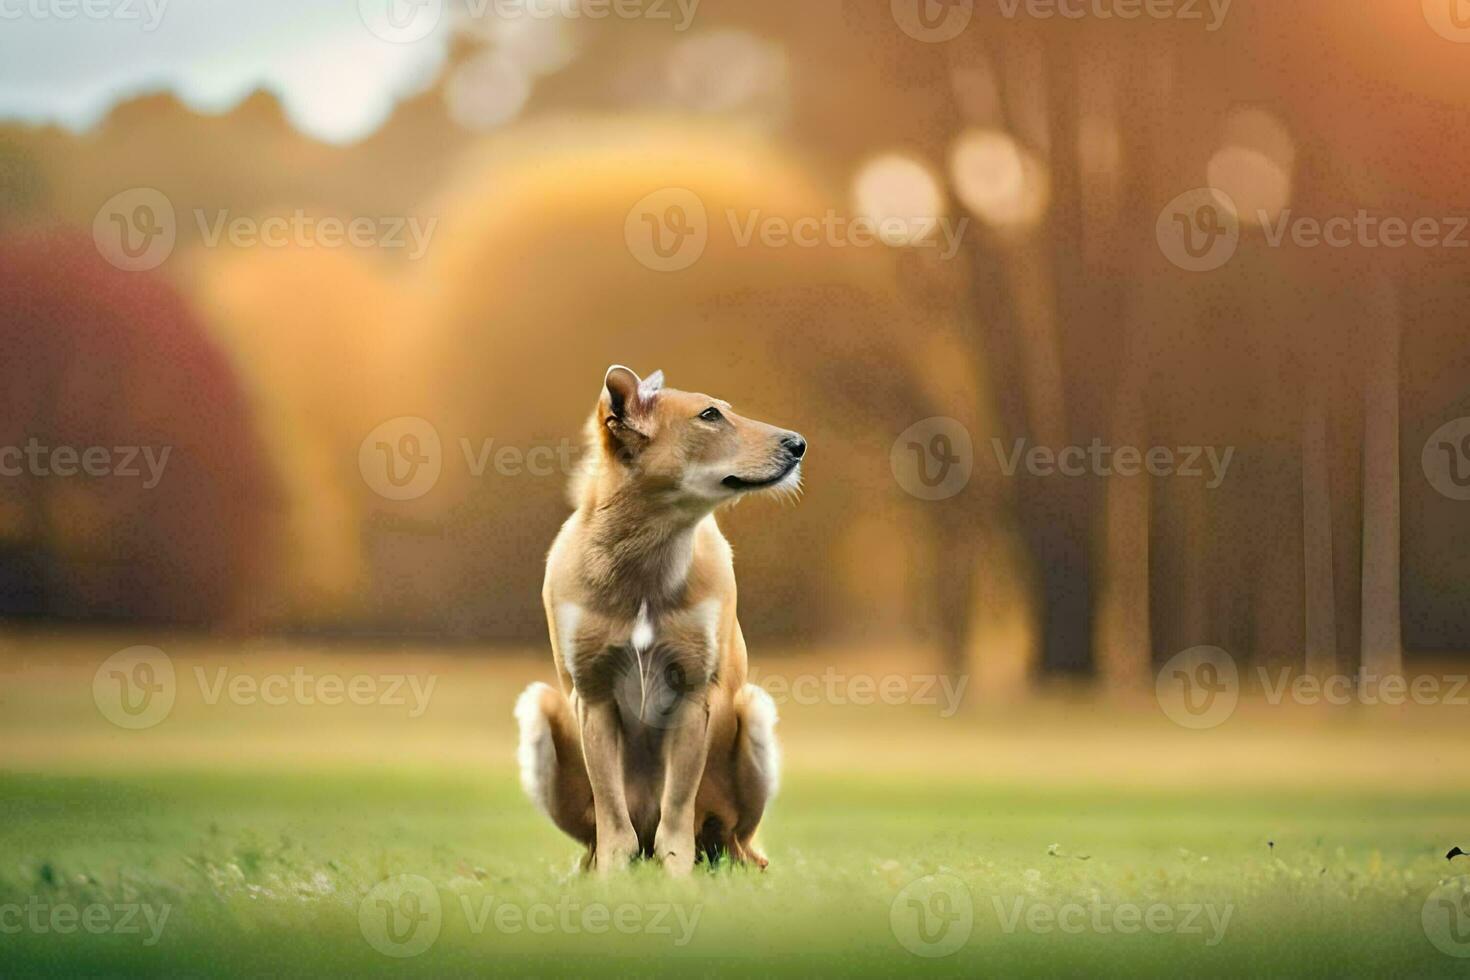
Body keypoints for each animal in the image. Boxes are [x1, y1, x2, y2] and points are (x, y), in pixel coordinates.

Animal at [514, 362, 805, 875]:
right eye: (709, 415)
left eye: (722, 409)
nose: (799, 444)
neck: (647, 553)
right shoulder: (592, 694)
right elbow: (612, 815)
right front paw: (612, 879)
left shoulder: (694, 691)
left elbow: (678, 809)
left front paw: (678, 880)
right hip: (539, 709)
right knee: (600, 838)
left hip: (753, 712)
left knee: (731, 838)